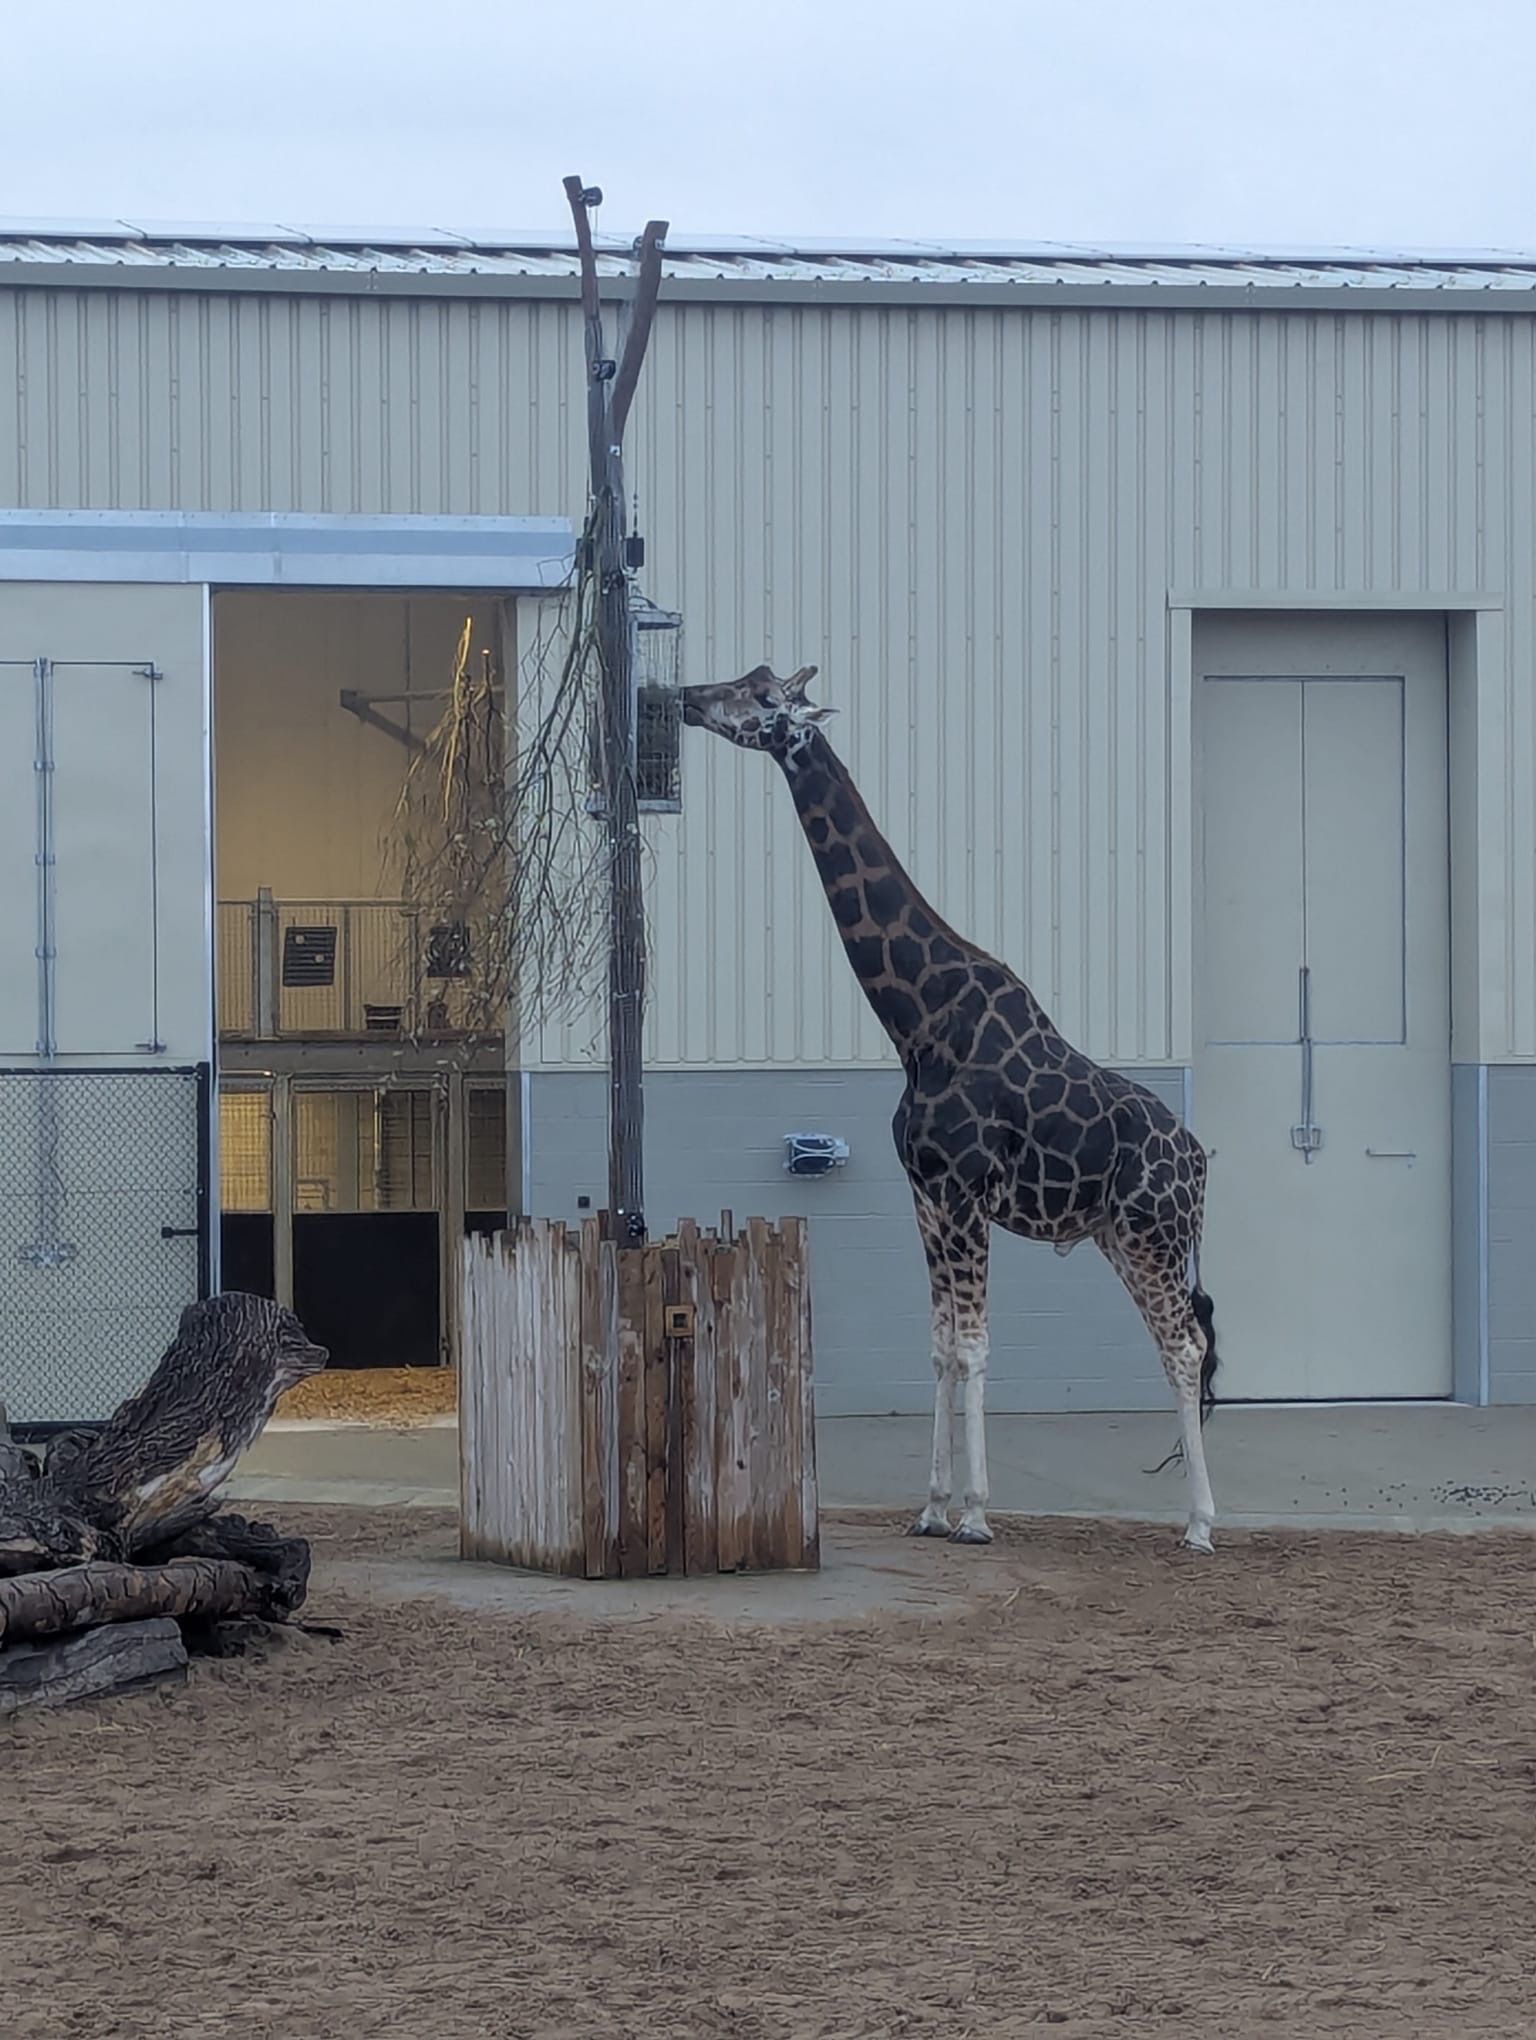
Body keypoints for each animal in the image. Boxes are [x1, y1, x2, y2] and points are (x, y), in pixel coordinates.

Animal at [681, 664, 1220, 1552]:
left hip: (1155, 1233)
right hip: (1119, 1235)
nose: (689, 698)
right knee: (1180, 1340)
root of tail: (1200, 1159)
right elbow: (937, 1346)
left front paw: (974, 1513)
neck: (919, 1020)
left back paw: (1203, 1526)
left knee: (1185, 1344)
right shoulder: (927, 1195)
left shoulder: (966, 1192)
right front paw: (931, 1506)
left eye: (762, 698)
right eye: (744, 681)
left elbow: (972, 1346)